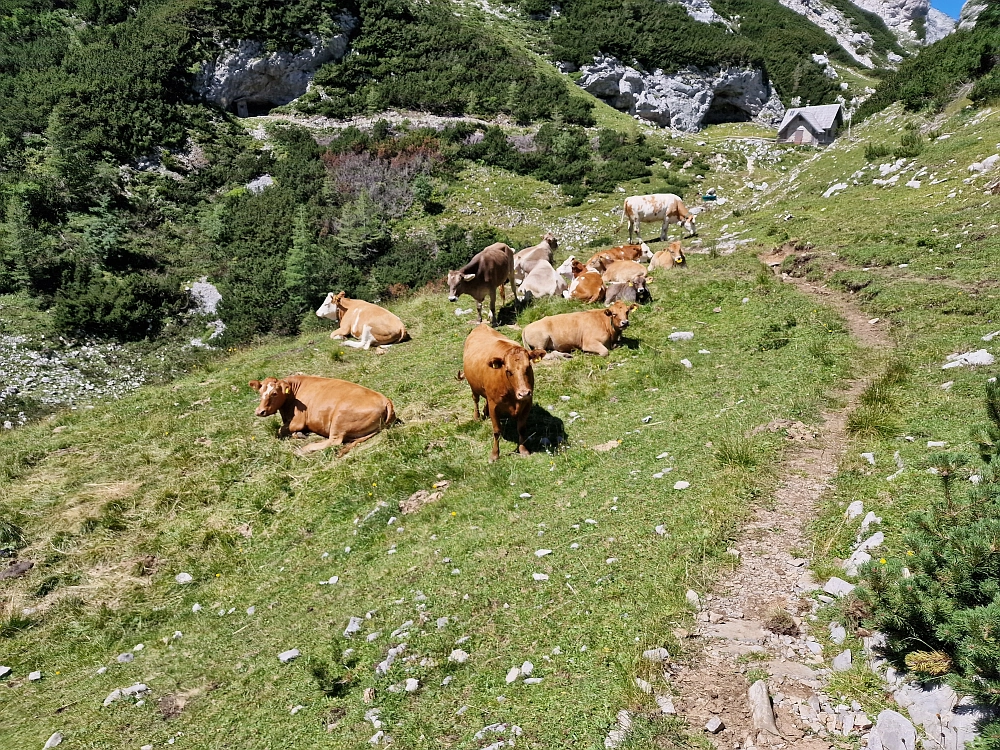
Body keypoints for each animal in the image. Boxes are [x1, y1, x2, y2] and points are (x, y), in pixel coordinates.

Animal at [248, 376, 396, 458]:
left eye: (274, 393)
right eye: (260, 392)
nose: (259, 411)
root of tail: (385, 399)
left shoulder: (298, 421)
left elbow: (280, 430)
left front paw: (298, 434)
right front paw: (299, 434)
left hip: (339, 418)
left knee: (335, 441)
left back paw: (303, 449)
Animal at [460, 324, 548, 464]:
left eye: (528, 367)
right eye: (508, 371)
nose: (524, 393)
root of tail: (481, 326)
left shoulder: (527, 403)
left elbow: (521, 428)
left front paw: (523, 450)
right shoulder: (494, 406)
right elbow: (496, 431)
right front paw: (494, 455)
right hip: (473, 386)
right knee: (475, 399)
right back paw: (477, 416)